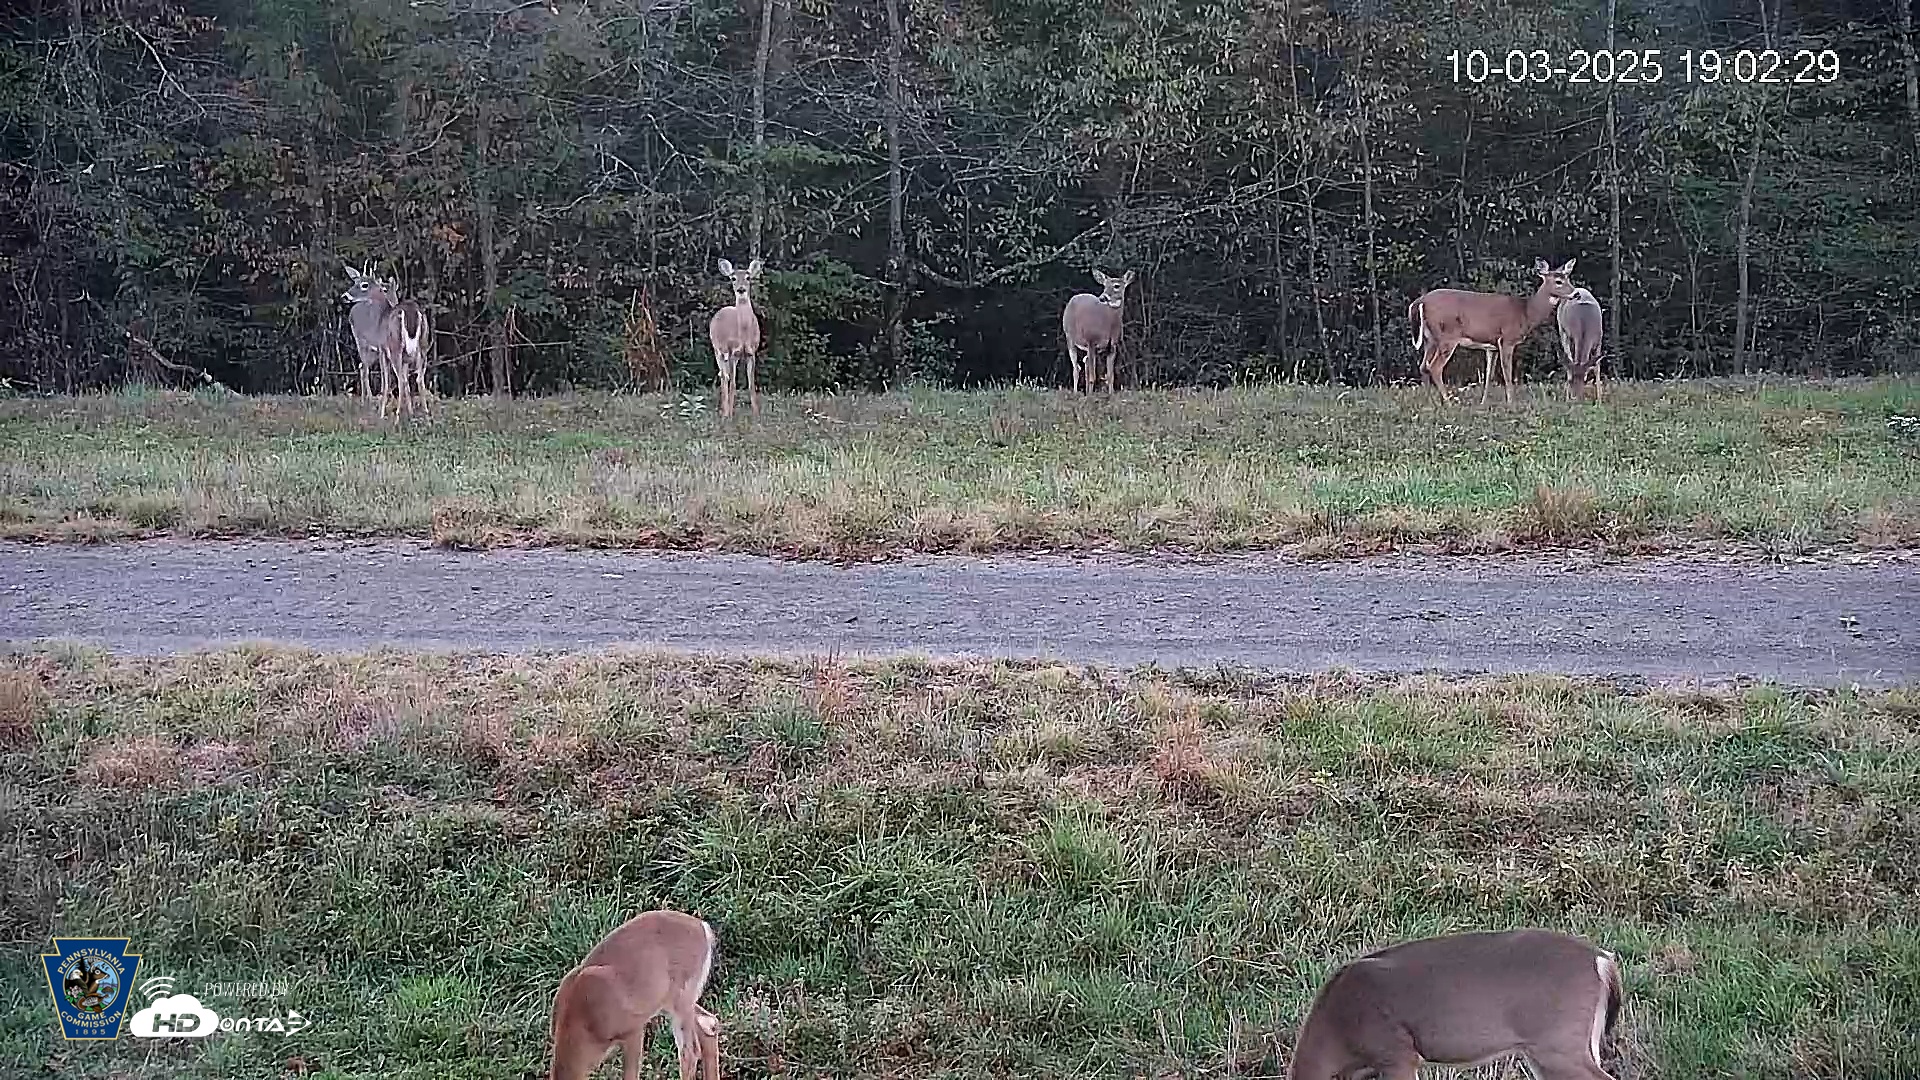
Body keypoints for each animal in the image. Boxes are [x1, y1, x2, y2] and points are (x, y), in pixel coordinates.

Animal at [549, 909, 722, 1080]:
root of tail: (703, 928)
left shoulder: (633, 1028)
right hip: (671, 1002)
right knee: (709, 1023)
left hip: (681, 997)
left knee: (690, 1052)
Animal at [708, 258, 763, 418]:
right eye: (733, 278)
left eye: (748, 277)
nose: (741, 289)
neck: (743, 333)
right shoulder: (733, 351)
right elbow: (733, 383)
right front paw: (730, 414)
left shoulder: (751, 352)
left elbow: (751, 383)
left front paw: (756, 414)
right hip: (717, 350)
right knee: (724, 376)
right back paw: (724, 411)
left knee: (724, 375)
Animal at [1409, 258, 1578, 405]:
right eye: (1558, 281)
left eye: (1568, 278)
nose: (1576, 293)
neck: (1526, 312)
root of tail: (1420, 301)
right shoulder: (1507, 339)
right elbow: (1507, 372)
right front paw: (1511, 402)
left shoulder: (1492, 346)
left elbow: (1488, 374)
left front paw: (1483, 402)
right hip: (1447, 336)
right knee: (1435, 367)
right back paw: (1449, 402)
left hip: (1429, 339)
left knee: (1423, 366)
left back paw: (1430, 401)